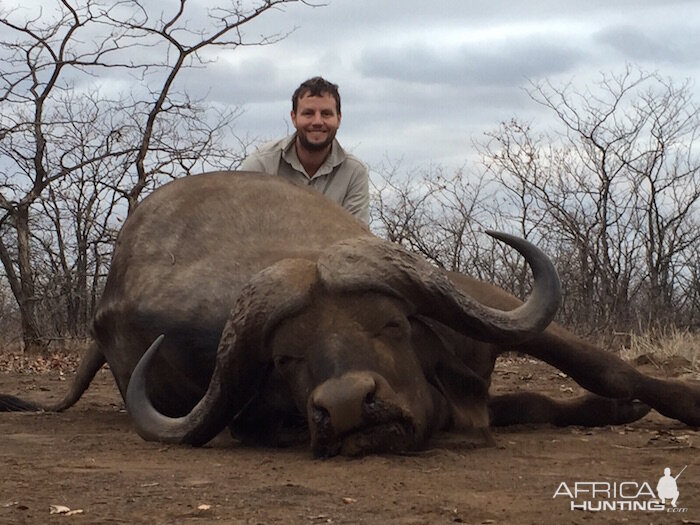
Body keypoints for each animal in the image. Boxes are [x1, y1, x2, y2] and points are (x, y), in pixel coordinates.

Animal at [1, 171, 700, 454]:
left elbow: (605, 368)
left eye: (392, 323)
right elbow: (524, 404)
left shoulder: (488, 303)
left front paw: (668, 404)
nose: (343, 406)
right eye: (285, 358)